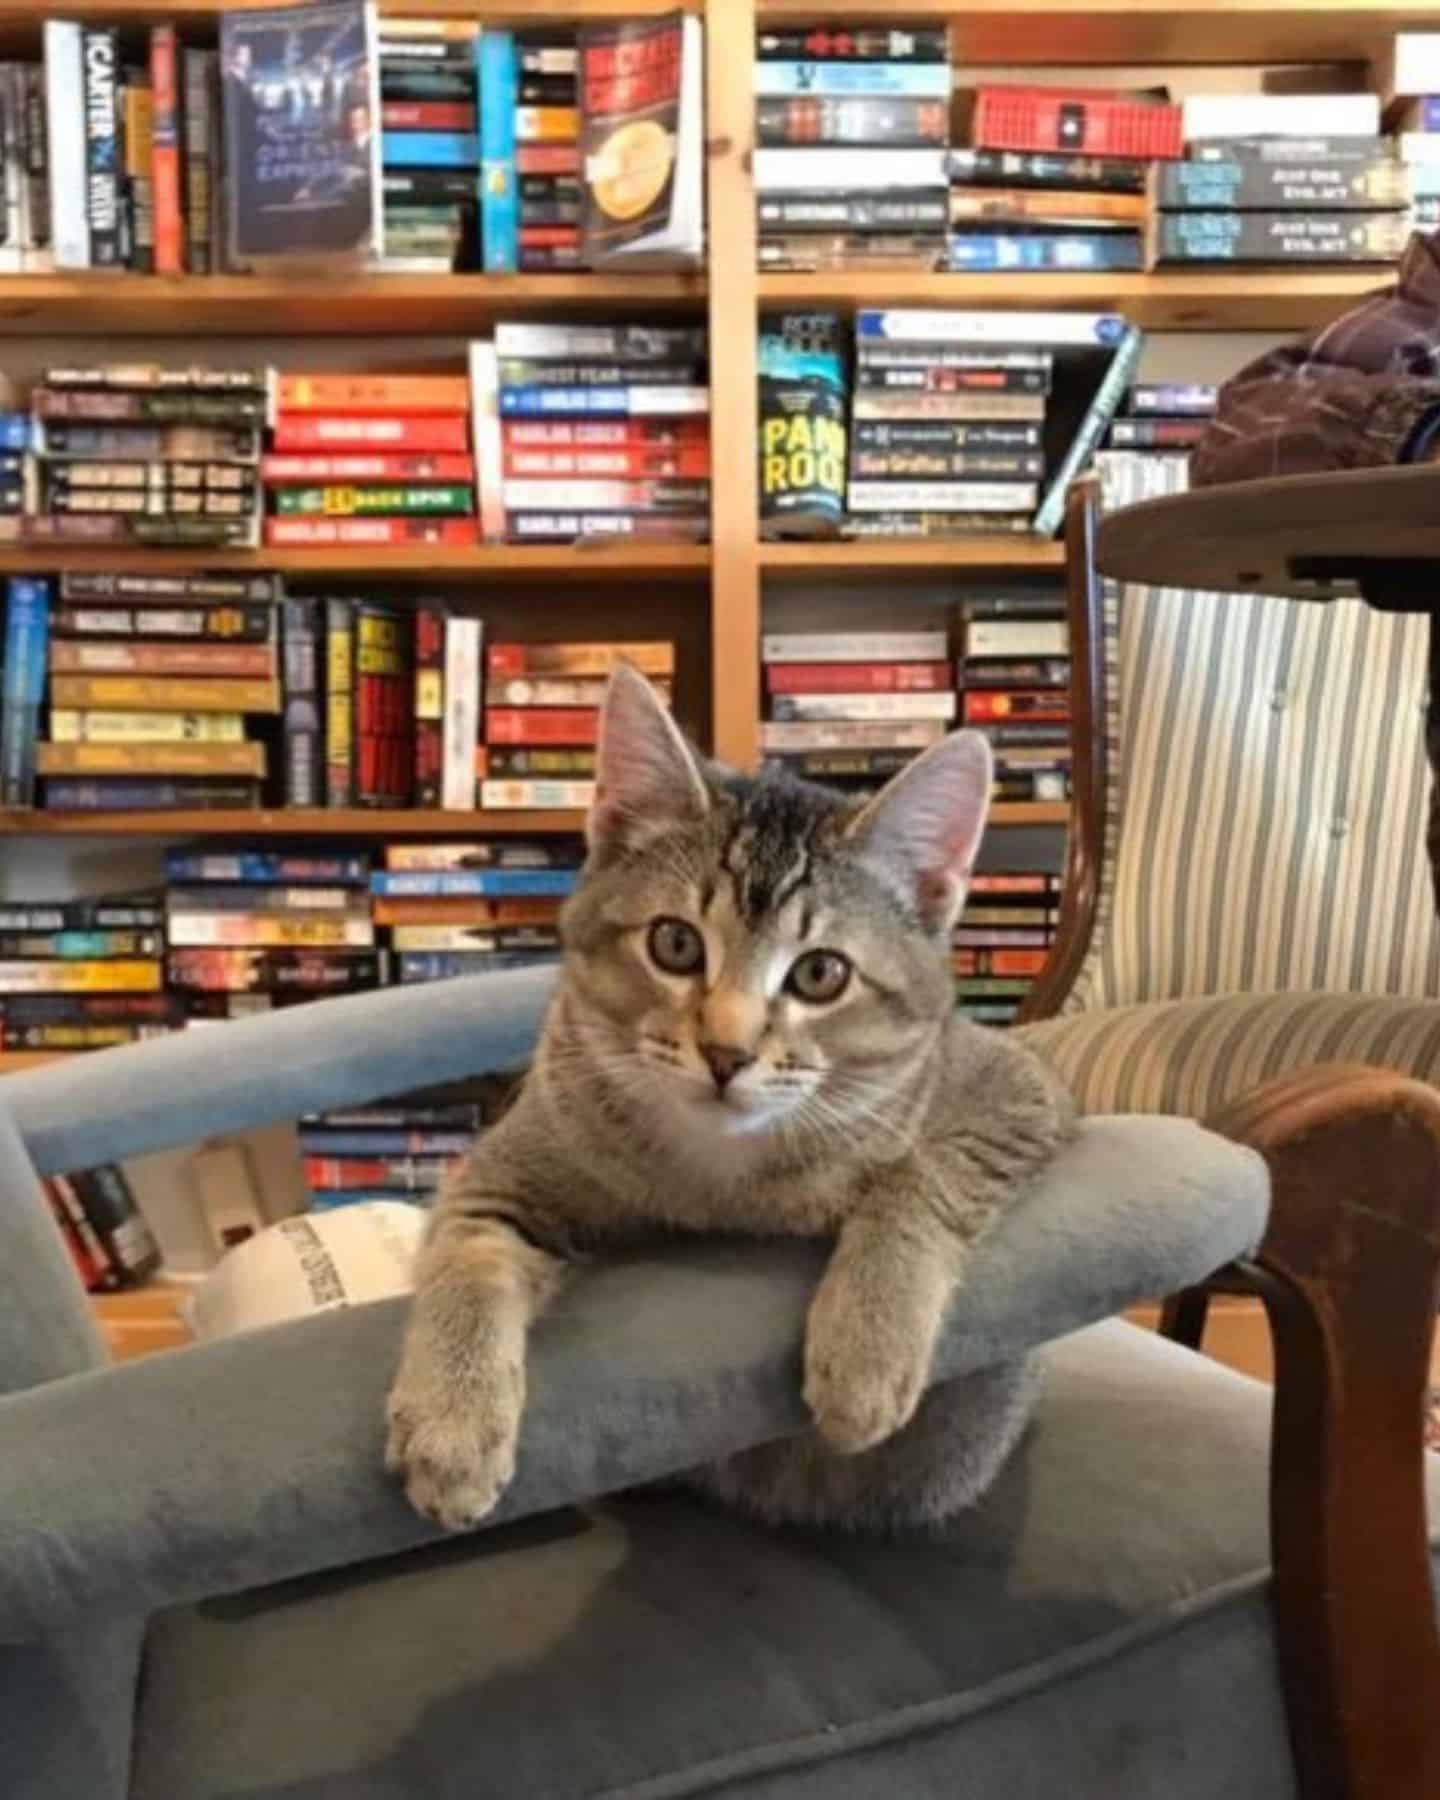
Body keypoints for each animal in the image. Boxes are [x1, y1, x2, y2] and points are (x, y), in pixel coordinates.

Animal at [388, 662, 1072, 1533]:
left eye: (821, 973)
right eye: (675, 943)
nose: (726, 1052)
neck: (722, 1173)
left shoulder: (1020, 1088)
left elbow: (923, 1178)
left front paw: (866, 1344)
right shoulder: (506, 1165)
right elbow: (467, 1256)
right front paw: (452, 1421)